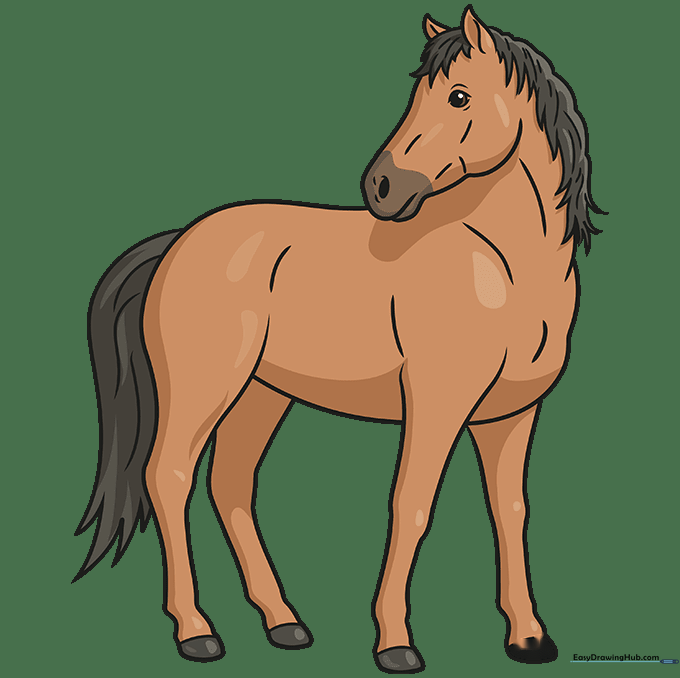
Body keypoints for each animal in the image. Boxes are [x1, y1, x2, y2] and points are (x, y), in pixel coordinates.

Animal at [74, 6, 604, 673]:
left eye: (458, 96)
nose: (380, 187)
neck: (503, 270)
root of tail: (180, 240)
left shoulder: (511, 416)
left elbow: (511, 513)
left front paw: (528, 638)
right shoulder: (436, 405)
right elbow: (412, 505)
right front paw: (395, 643)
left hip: (262, 394)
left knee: (230, 486)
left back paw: (284, 624)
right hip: (204, 389)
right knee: (169, 476)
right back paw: (196, 632)